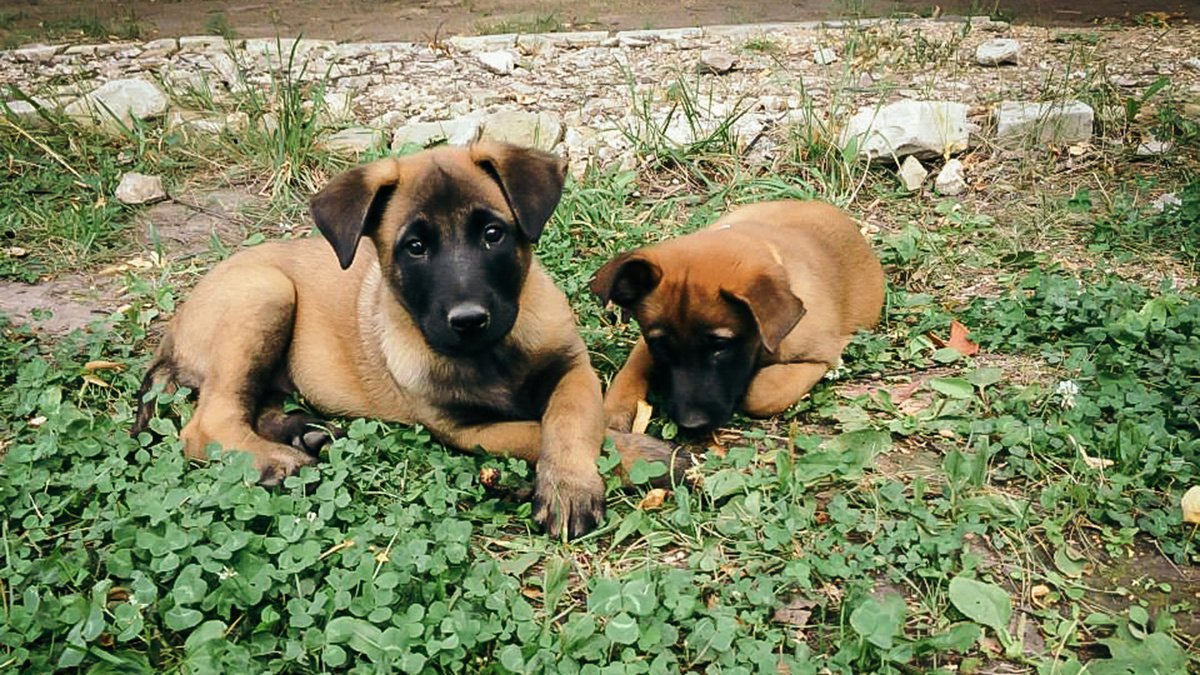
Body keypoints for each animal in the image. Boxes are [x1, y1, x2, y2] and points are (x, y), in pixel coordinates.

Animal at [133, 142, 619, 535]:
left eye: (492, 234)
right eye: (415, 247)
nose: (468, 320)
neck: (491, 354)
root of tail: (172, 331)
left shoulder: (573, 368)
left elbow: (568, 419)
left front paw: (569, 486)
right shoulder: (462, 428)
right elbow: (540, 430)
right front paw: (624, 455)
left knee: (254, 404)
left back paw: (304, 432)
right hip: (265, 293)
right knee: (208, 423)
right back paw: (279, 460)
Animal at [588, 199, 883, 429]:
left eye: (720, 345)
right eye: (661, 345)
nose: (691, 425)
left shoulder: (819, 358)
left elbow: (763, 393)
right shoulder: (646, 341)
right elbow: (632, 366)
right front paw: (614, 409)